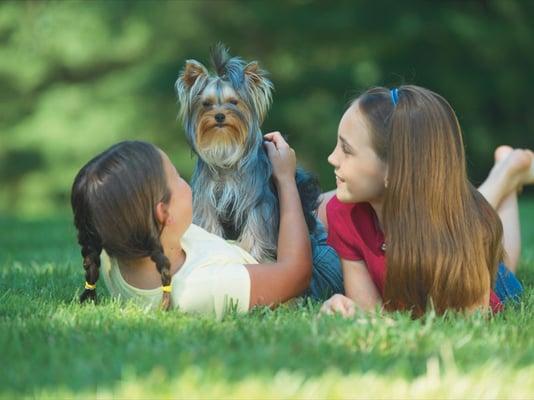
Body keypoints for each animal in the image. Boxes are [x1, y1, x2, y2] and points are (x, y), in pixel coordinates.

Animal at [176, 44, 322, 262]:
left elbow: (256, 225)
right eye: (206, 104)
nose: (219, 116)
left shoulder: (257, 198)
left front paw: (253, 253)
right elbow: (208, 222)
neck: (224, 147)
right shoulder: (206, 198)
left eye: (234, 102)